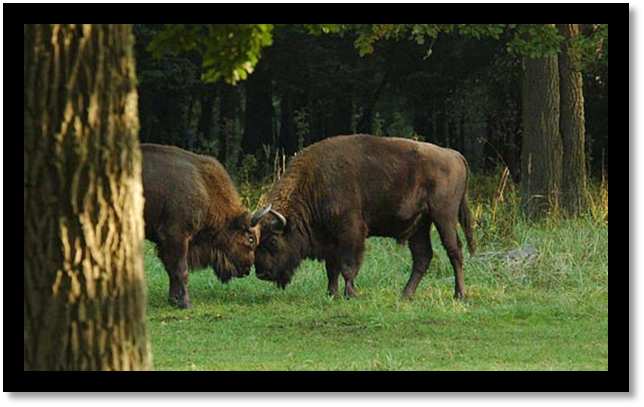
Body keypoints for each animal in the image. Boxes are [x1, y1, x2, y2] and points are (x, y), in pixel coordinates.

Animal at [141, 145, 272, 308]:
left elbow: (171, 270)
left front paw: (173, 300)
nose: (247, 269)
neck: (204, 187)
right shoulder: (176, 237)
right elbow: (180, 269)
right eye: (250, 239)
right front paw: (185, 303)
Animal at [254, 135, 476, 298]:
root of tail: (454, 155)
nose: (261, 273)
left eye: (272, 240)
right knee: (423, 256)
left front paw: (351, 294)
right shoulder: (330, 240)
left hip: (444, 216)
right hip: (420, 224)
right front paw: (331, 294)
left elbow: (348, 266)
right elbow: (331, 268)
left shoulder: (351, 232)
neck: (314, 184)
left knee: (454, 251)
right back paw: (405, 295)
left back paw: (459, 295)